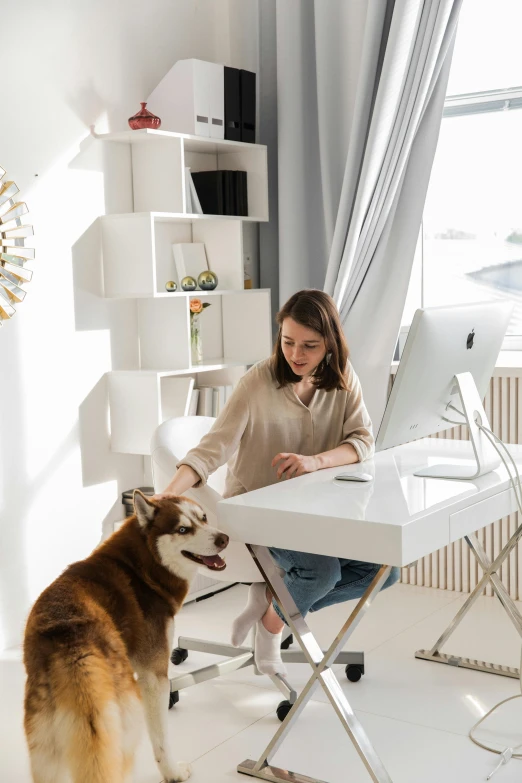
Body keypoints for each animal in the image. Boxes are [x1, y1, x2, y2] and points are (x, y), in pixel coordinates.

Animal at [22, 494, 228, 783]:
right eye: (182, 529)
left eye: (203, 517)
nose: (224, 538)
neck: (142, 566)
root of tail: (70, 634)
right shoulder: (153, 678)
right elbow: (161, 741)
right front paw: (173, 773)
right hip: (124, 722)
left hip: (45, 740)